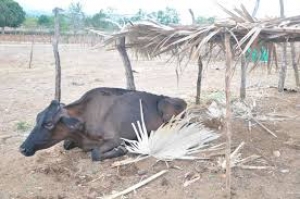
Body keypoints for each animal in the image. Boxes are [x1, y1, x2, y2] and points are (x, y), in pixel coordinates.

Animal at [19, 87, 186, 160]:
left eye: (48, 123)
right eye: (37, 119)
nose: (22, 148)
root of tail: (182, 100)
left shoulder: (115, 138)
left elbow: (95, 154)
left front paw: (121, 150)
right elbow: (66, 145)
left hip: (166, 108)